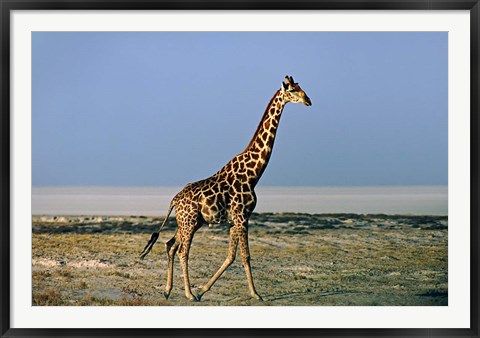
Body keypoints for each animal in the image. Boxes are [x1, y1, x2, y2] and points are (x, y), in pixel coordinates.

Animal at [140, 74, 312, 302]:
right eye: (292, 90)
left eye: (301, 87)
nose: (308, 100)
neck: (254, 174)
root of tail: (174, 200)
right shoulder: (242, 216)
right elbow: (245, 256)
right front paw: (256, 295)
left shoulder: (234, 220)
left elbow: (231, 256)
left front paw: (204, 289)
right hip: (190, 222)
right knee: (183, 251)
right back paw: (188, 294)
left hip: (188, 222)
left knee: (170, 245)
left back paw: (168, 291)